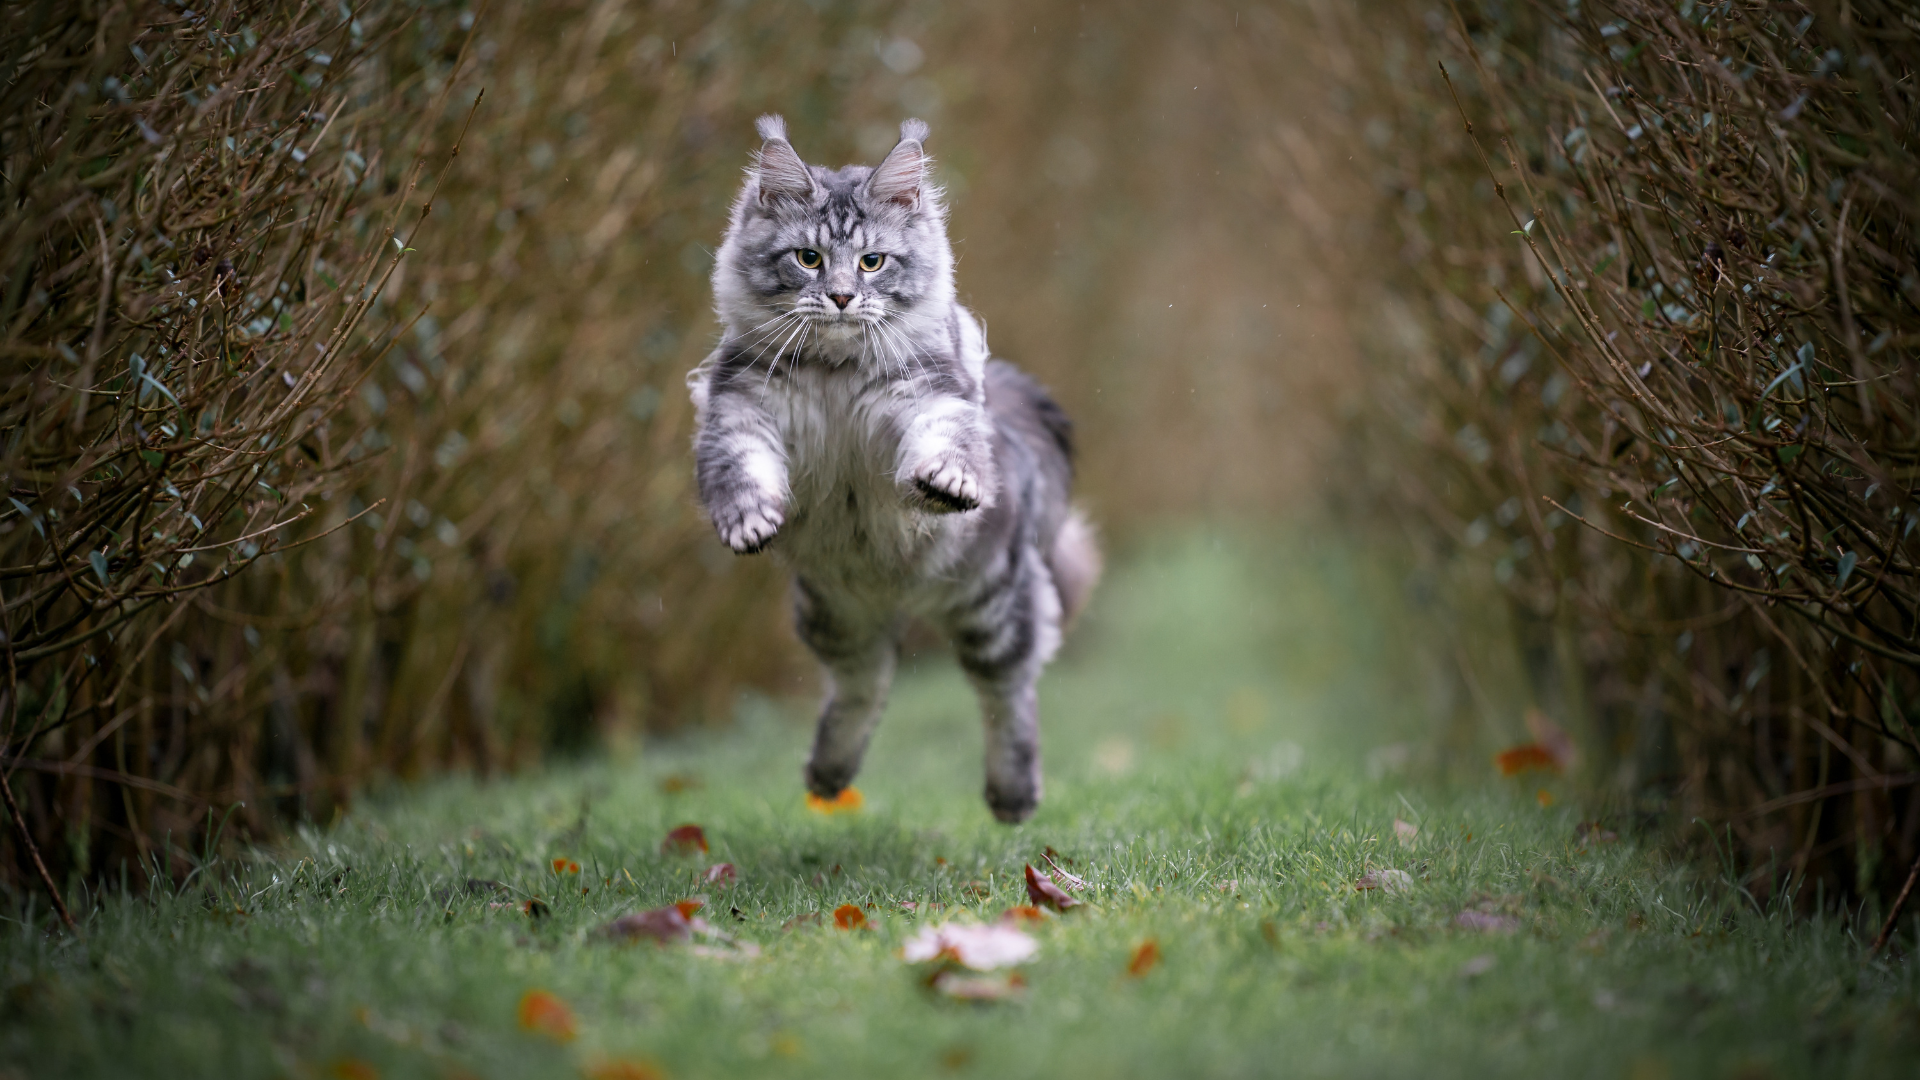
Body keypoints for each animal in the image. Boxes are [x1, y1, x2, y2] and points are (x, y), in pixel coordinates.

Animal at [691, 117, 1098, 818]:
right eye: (808, 258)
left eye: (872, 261)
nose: (841, 297)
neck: (834, 374)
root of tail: (901, 594)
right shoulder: (740, 412)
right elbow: (742, 473)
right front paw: (748, 523)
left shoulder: (928, 399)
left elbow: (941, 446)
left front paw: (948, 484)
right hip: (836, 616)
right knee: (866, 688)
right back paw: (829, 774)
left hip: (992, 610)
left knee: (1009, 695)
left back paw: (1012, 795)